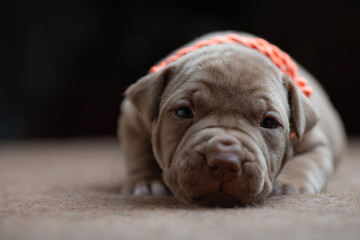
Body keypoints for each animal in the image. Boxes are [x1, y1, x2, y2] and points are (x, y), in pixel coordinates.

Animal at [118, 31, 346, 207]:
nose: (224, 161)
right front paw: (146, 183)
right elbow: (138, 151)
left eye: (269, 123)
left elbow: (307, 161)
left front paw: (289, 185)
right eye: (183, 112)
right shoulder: (133, 119)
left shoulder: (313, 141)